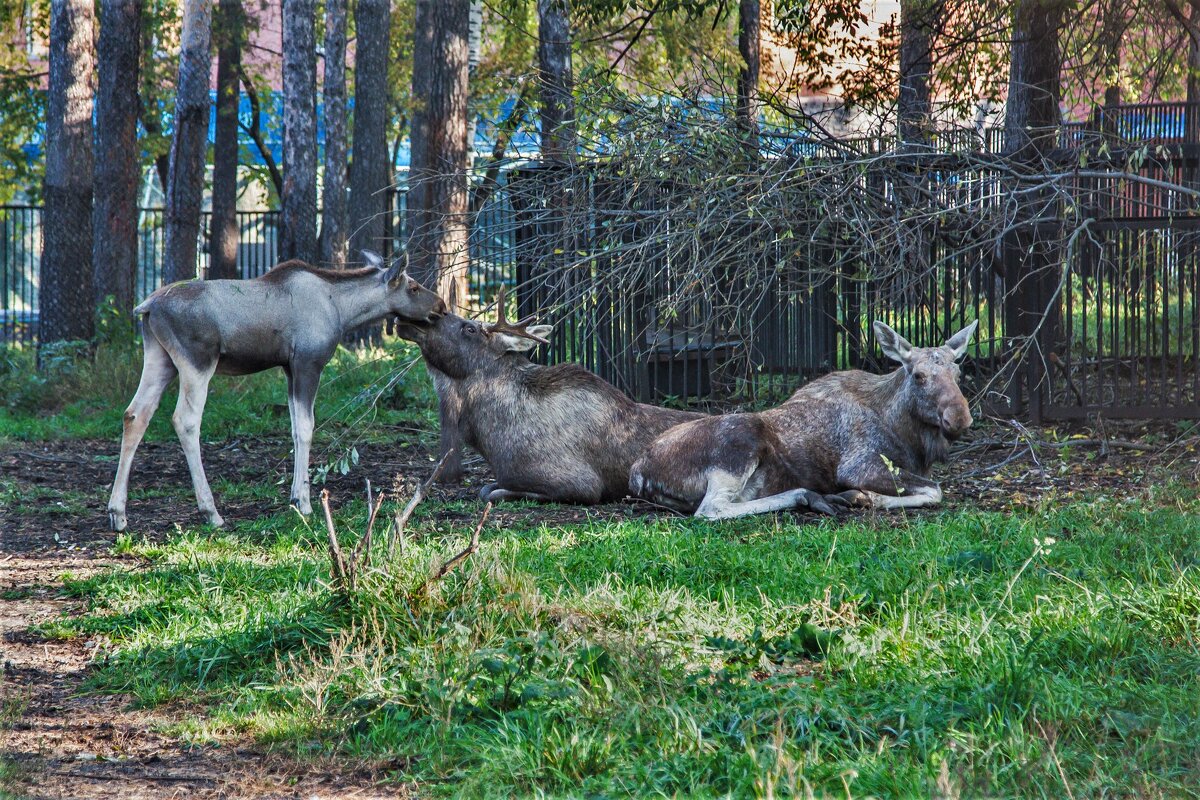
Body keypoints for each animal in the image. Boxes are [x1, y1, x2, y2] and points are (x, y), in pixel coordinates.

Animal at [106, 253, 446, 534]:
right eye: (414, 287)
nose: (441, 307)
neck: (343, 310)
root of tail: (146, 307)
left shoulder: (289, 368)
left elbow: (295, 429)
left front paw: (295, 498)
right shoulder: (308, 363)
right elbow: (307, 428)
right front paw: (305, 503)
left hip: (160, 359)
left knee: (134, 414)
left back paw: (118, 513)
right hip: (197, 361)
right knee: (185, 420)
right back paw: (211, 512)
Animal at [628, 321, 974, 522]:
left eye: (958, 373)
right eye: (918, 375)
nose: (959, 418)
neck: (907, 435)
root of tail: (639, 473)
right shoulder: (858, 466)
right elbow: (935, 490)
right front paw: (863, 497)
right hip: (740, 442)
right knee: (710, 510)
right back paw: (809, 495)